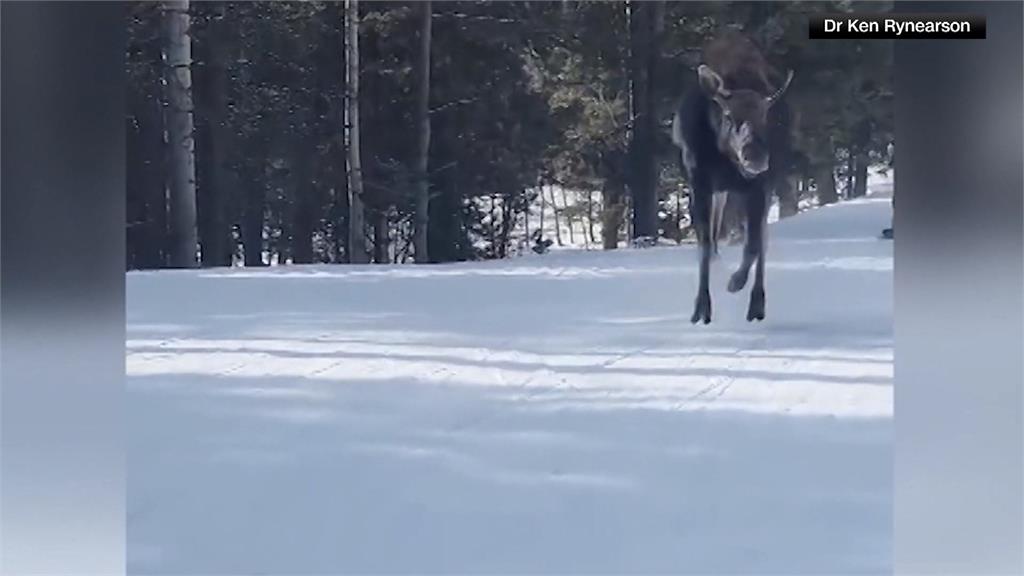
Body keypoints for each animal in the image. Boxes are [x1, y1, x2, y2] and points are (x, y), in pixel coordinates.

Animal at [671, 31, 798, 323]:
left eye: (764, 116)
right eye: (728, 115)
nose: (756, 157)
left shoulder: (759, 186)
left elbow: (752, 245)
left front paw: (735, 282)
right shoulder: (700, 184)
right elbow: (705, 245)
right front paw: (701, 306)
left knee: (761, 240)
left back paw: (757, 302)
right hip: (721, 192)